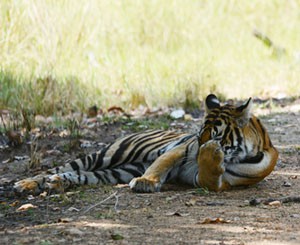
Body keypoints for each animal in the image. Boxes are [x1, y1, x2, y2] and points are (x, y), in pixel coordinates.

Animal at [13, 94, 278, 193]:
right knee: (62, 167)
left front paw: (211, 155)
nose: (196, 151)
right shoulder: (180, 149)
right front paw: (145, 182)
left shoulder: (211, 180)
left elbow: (209, 173)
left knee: (77, 175)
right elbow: (160, 165)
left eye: (215, 135)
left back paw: (56, 183)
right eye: (197, 135)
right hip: (107, 154)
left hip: (115, 171)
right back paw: (26, 183)